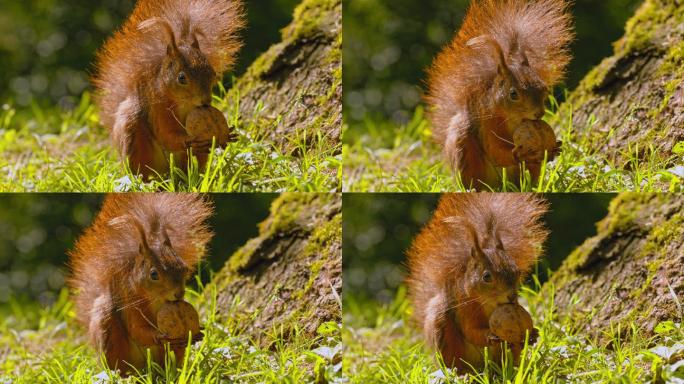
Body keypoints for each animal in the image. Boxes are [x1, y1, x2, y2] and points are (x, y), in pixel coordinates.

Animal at [68, 194, 214, 374]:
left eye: (184, 268)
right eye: (154, 274)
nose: (179, 293)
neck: (156, 300)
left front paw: (199, 332)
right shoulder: (129, 302)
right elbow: (137, 330)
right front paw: (159, 335)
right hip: (109, 329)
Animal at [92, 0, 244, 177]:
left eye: (212, 73)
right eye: (181, 78)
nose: (206, 101)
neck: (184, 103)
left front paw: (228, 135)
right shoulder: (158, 109)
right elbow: (166, 135)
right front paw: (188, 140)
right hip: (134, 136)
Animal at [406, 194, 552, 370]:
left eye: (517, 271)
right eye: (486, 277)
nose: (511, 296)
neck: (490, 304)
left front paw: (533, 334)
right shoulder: (465, 307)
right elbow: (471, 331)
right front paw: (489, 335)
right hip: (443, 328)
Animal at [428, 0, 572, 189]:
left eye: (544, 88)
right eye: (513, 94)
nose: (539, 113)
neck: (514, 118)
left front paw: (555, 148)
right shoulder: (487, 123)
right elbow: (495, 151)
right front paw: (519, 154)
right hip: (463, 145)